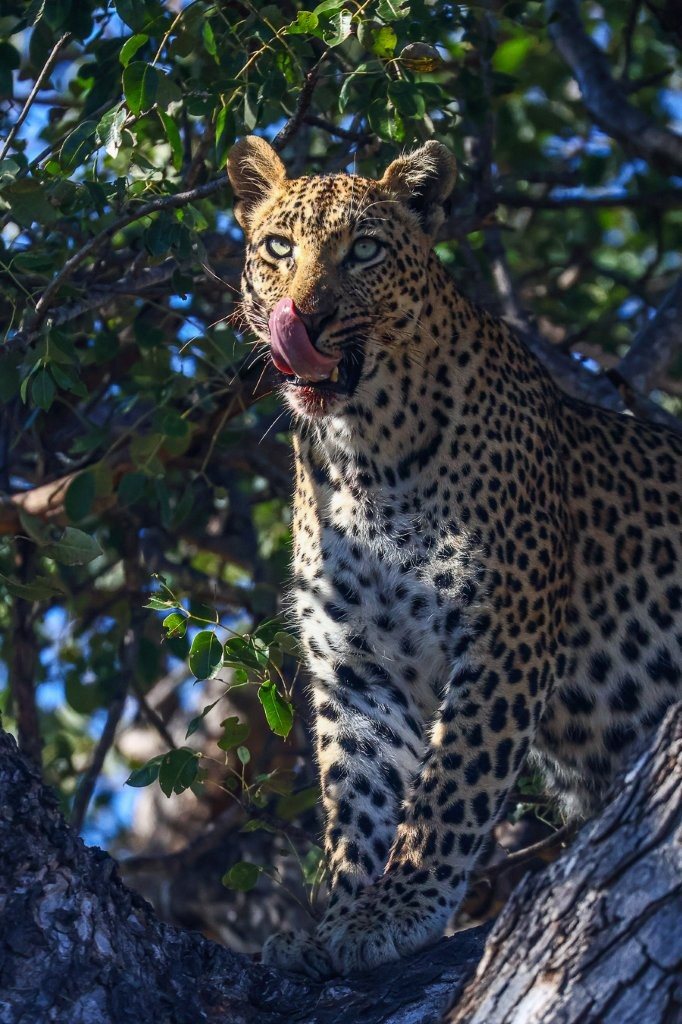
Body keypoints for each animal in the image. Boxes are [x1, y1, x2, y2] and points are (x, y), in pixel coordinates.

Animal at [227, 136, 682, 979]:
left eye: (364, 250)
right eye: (279, 248)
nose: (304, 315)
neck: (362, 455)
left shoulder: (505, 633)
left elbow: (451, 783)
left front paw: (398, 906)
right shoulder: (357, 666)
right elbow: (359, 799)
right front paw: (334, 922)